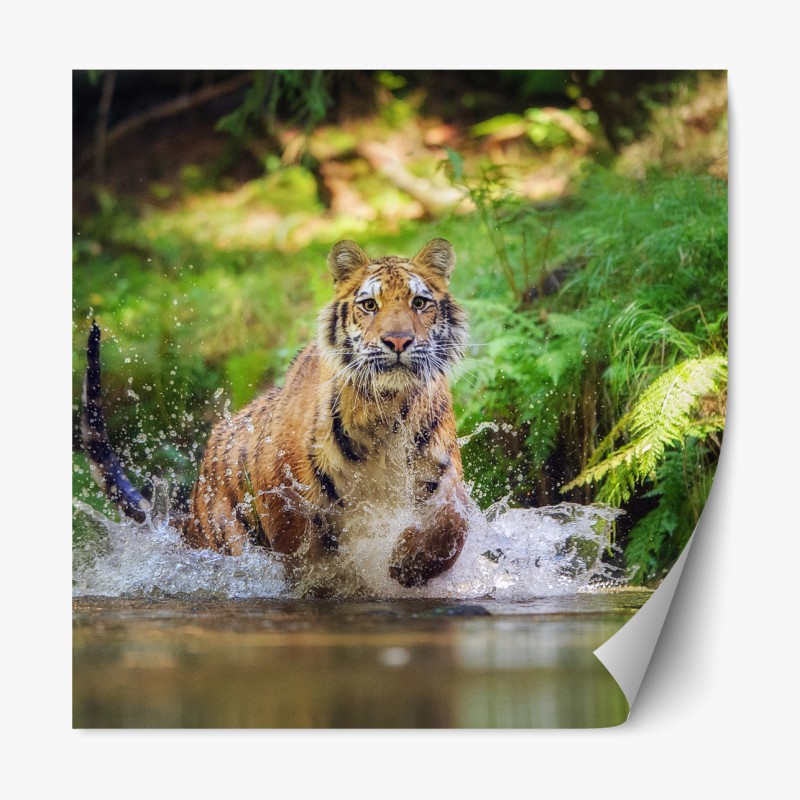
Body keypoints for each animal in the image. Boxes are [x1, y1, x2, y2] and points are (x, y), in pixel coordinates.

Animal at [82, 238, 471, 591]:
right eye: (369, 305)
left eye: (419, 302)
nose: (399, 341)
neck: (384, 410)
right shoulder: (284, 497)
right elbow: (306, 557)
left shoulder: (442, 471)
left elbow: (453, 523)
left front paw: (408, 564)